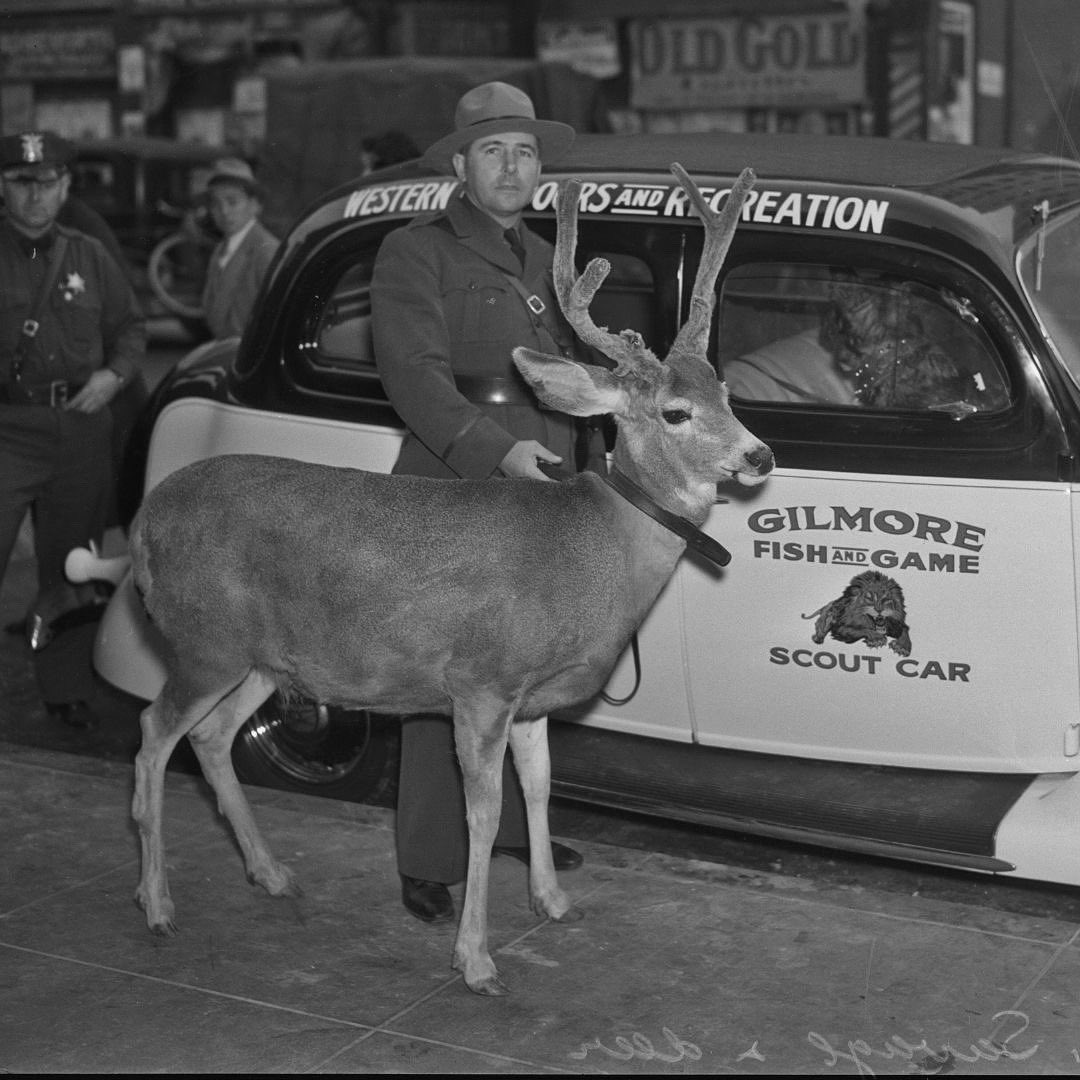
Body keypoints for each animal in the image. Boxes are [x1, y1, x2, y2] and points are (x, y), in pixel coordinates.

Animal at [126, 159, 773, 993]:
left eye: (725, 391)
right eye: (675, 412)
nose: (760, 455)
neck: (591, 549)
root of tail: (144, 521)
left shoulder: (531, 695)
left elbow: (540, 786)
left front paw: (553, 901)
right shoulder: (481, 681)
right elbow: (483, 816)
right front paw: (477, 959)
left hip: (264, 658)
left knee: (208, 738)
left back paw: (270, 874)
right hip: (202, 638)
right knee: (152, 735)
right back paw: (156, 903)